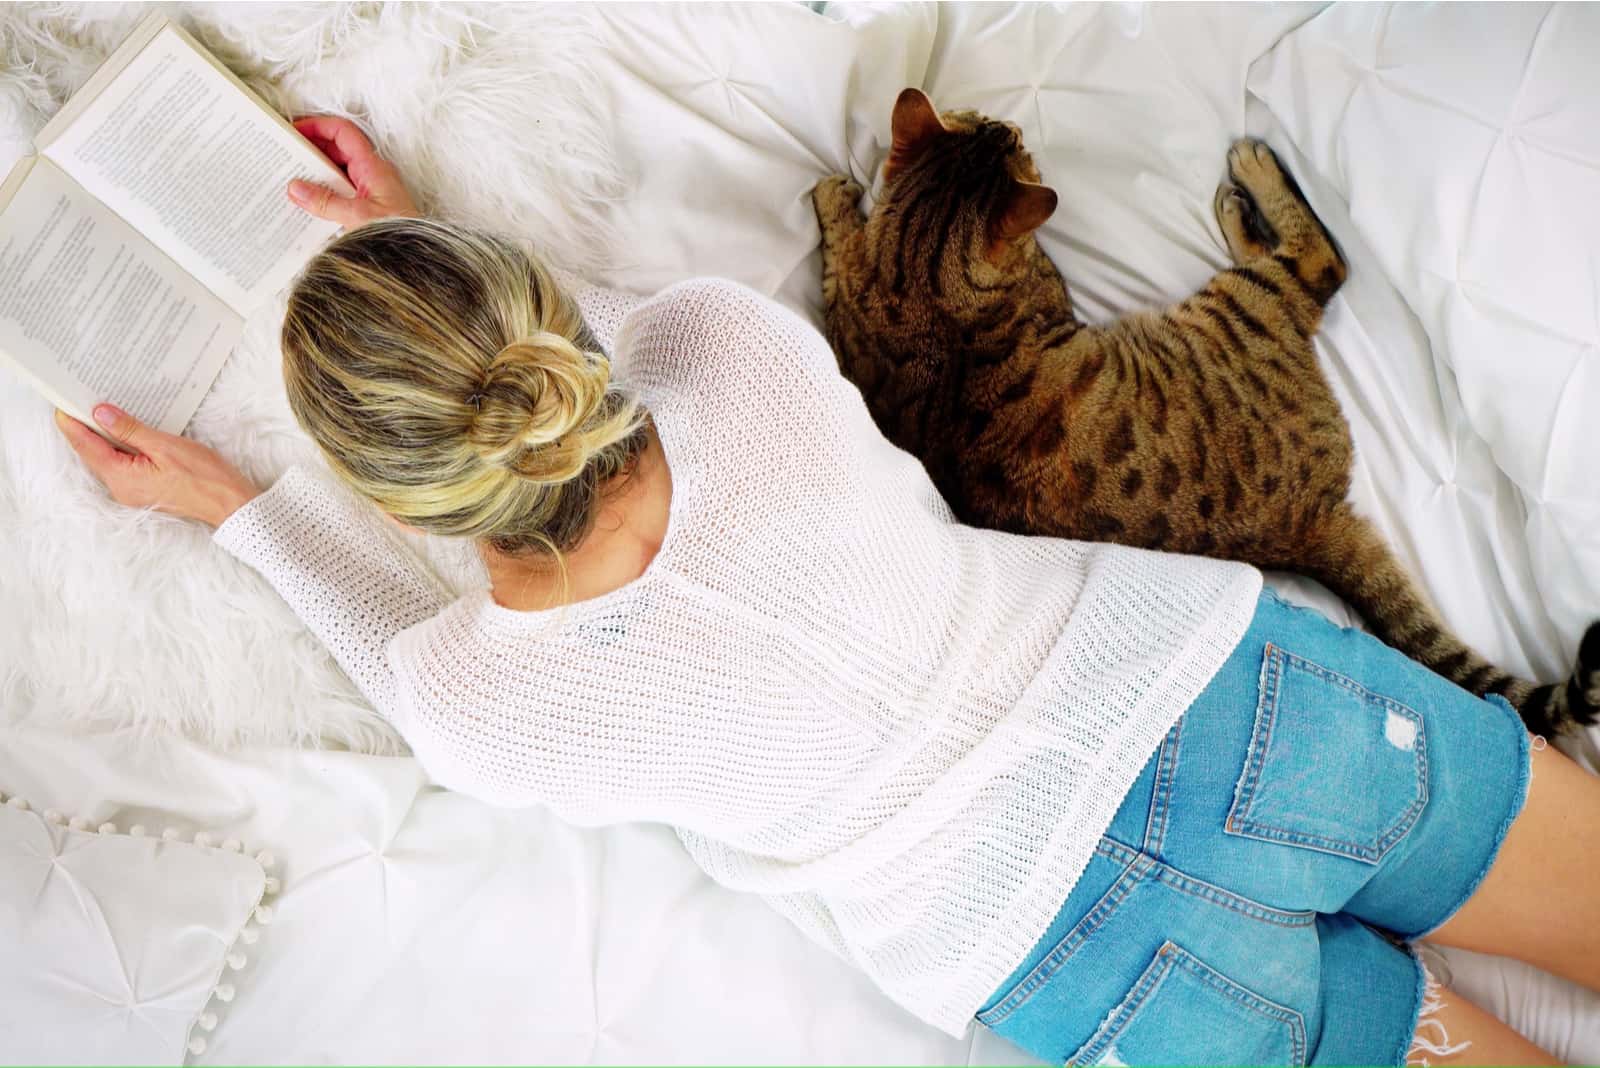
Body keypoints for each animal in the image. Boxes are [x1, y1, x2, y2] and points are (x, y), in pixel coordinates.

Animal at [819, 87, 1593, 738]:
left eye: (981, 118)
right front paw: (837, 202)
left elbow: (839, 254)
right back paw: (1244, 185)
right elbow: (840, 251)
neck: (922, 272)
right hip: (1246, 302)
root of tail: (1305, 526)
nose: (1009, 121)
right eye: (1005, 137)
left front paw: (837, 200)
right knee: (1320, 264)